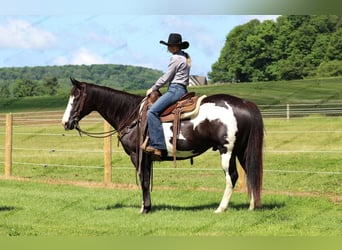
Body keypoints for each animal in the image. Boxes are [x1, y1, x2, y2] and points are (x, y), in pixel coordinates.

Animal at [62, 78, 264, 213]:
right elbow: (146, 180)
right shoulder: (147, 158)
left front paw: (144, 209)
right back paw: (252, 206)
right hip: (242, 151)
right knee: (251, 173)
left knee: (232, 176)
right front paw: (147, 206)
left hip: (227, 151)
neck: (132, 115)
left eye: (76, 98)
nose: (65, 122)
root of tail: (244, 103)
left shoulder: (137, 155)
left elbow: (143, 180)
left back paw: (221, 208)